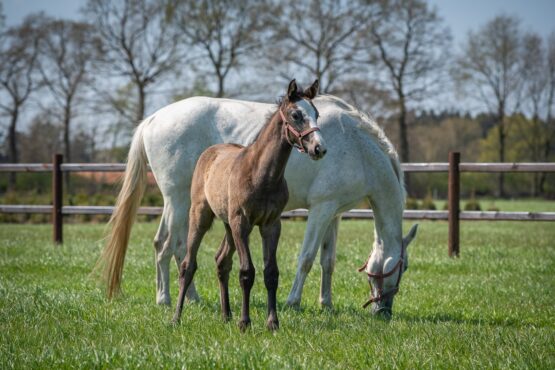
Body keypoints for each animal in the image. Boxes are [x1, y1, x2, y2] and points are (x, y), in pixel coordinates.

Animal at [173, 79, 326, 330]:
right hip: (202, 216)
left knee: (222, 261)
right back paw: (176, 317)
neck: (261, 175)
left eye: (317, 114)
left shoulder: (271, 224)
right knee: (189, 264)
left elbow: (271, 273)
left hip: (228, 225)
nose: (319, 148)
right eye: (296, 114)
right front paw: (245, 322)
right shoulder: (242, 222)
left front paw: (272, 322)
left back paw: (226, 315)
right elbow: (246, 272)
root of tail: (210, 151)